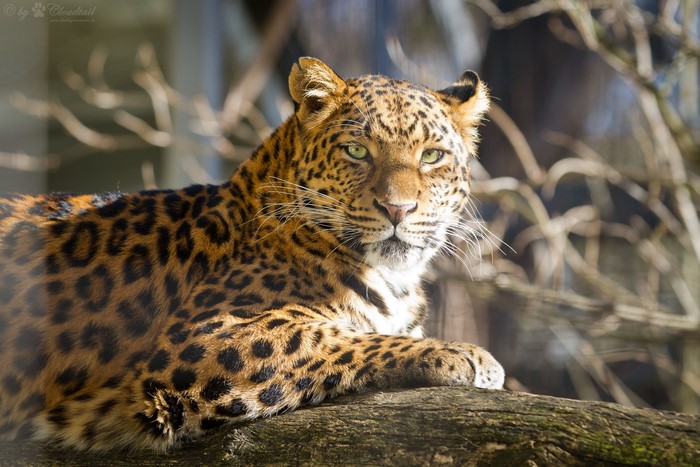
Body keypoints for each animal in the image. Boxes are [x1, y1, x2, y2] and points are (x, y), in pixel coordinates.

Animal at [0, 57, 504, 451]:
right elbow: (341, 337)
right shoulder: (205, 337)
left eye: (432, 156)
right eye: (357, 151)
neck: (394, 279)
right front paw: (464, 355)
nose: (398, 209)